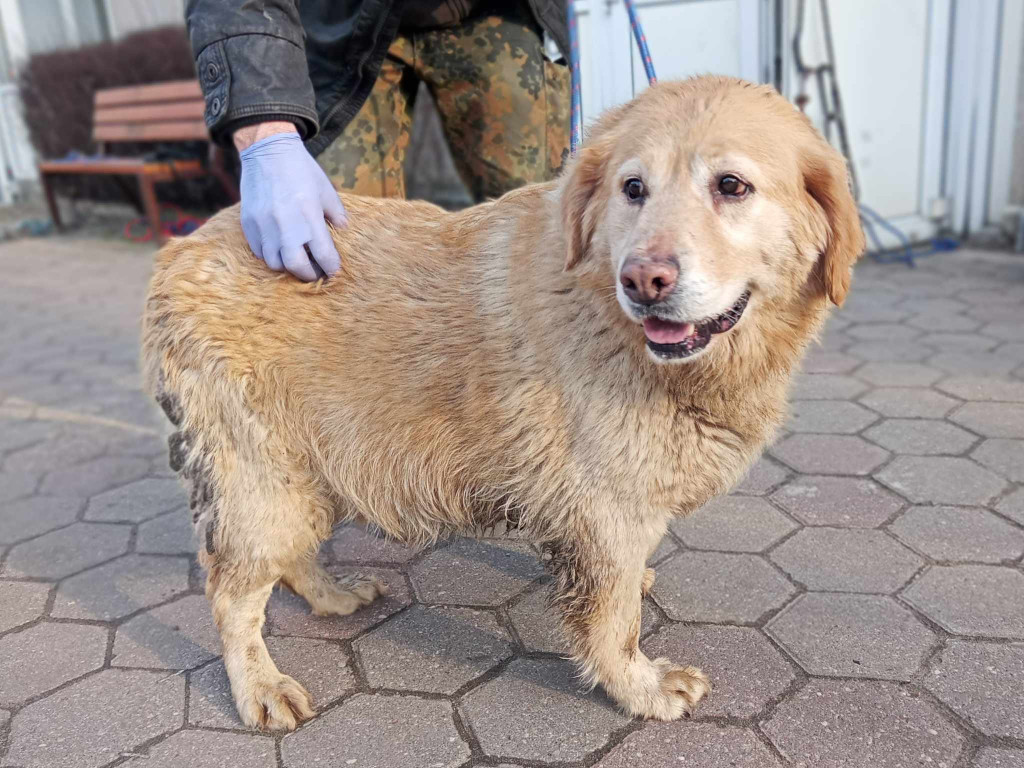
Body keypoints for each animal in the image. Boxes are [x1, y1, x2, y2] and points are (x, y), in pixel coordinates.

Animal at [142, 76, 864, 733]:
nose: (643, 280)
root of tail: (183, 246)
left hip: (310, 471)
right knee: (230, 594)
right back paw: (260, 686)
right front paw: (641, 688)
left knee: (290, 559)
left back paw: (332, 596)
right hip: (264, 480)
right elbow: (614, 622)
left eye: (731, 186)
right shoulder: (602, 508)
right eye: (633, 188)